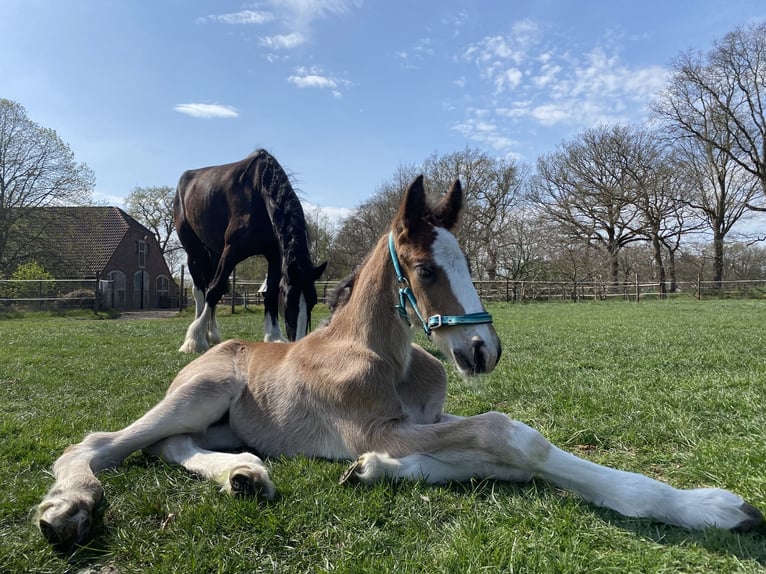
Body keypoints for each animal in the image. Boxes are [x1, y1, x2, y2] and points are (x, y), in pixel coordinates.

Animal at [36, 175, 762, 550]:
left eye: (467, 263)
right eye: (424, 269)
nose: (483, 351)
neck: (384, 356)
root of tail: (216, 346)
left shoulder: (426, 422)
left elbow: (494, 463)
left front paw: (375, 472)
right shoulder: (377, 424)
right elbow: (512, 438)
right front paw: (704, 505)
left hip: (212, 419)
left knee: (174, 446)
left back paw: (244, 473)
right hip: (203, 390)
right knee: (102, 443)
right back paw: (70, 507)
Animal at [174, 149, 327, 353]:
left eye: (313, 300)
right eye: (288, 299)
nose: (300, 342)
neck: (259, 195)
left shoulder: (274, 256)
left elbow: (270, 294)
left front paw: (273, 336)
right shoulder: (231, 250)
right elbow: (214, 290)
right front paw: (194, 341)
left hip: (214, 253)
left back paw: (212, 334)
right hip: (194, 252)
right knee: (200, 291)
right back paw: (199, 336)